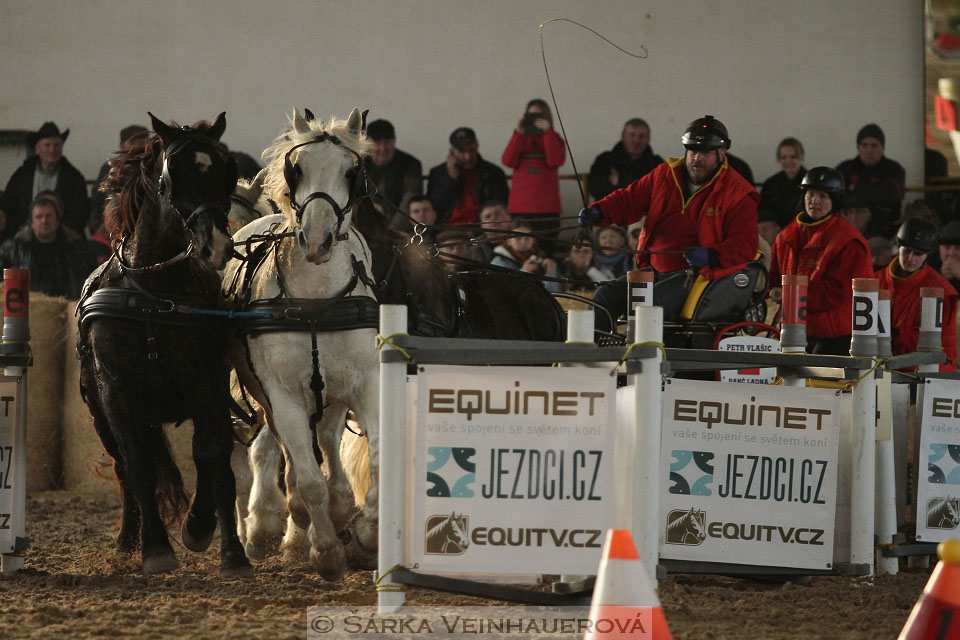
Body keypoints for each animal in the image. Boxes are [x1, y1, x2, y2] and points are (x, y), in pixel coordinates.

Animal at [77, 112, 253, 576]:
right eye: (171, 177)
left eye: (227, 170)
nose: (216, 246)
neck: (154, 295)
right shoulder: (116, 395)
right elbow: (138, 466)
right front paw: (155, 548)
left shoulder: (208, 386)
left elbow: (212, 458)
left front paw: (221, 543)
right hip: (100, 414)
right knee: (123, 467)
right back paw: (127, 540)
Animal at [222, 110, 378, 580]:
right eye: (298, 169)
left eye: (352, 172)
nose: (318, 239)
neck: (317, 302)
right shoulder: (281, 394)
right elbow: (307, 480)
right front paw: (325, 551)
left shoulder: (362, 384)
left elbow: (373, 461)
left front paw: (367, 531)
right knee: (277, 459)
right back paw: (274, 526)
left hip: (329, 394)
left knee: (325, 440)